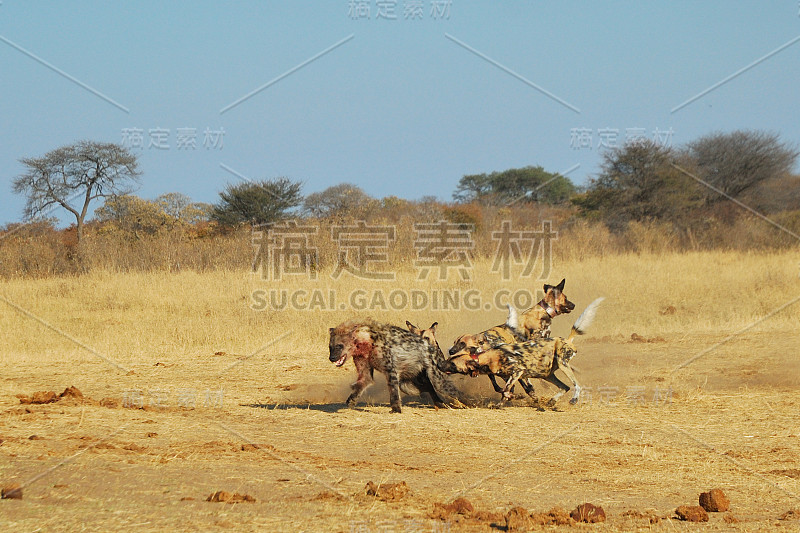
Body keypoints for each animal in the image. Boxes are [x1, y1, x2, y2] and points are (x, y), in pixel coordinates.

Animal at [328, 318, 462, 414]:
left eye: (340, 346)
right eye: (330, 347)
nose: (331, 358)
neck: (365, 341)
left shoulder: (391, 371)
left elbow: (393, 393)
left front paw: (396, 410)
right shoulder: (365, 369)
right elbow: (360, 385)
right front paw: (351, 401)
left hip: (437, 378)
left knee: (450, 390)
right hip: (409, 384)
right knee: (428, 388)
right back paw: (440, 403)